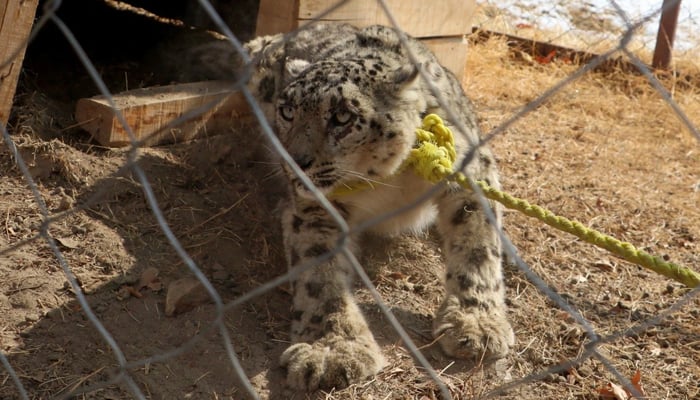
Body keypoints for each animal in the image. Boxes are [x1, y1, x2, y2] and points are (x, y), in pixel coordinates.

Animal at [243, 23, 514, 391]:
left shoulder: (470, 173)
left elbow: (478, 249)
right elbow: (320, 275)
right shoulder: (316, 207)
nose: (294, 162)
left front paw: (476, 324)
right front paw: (332, 351)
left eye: (342, 116)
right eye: (287, 111)